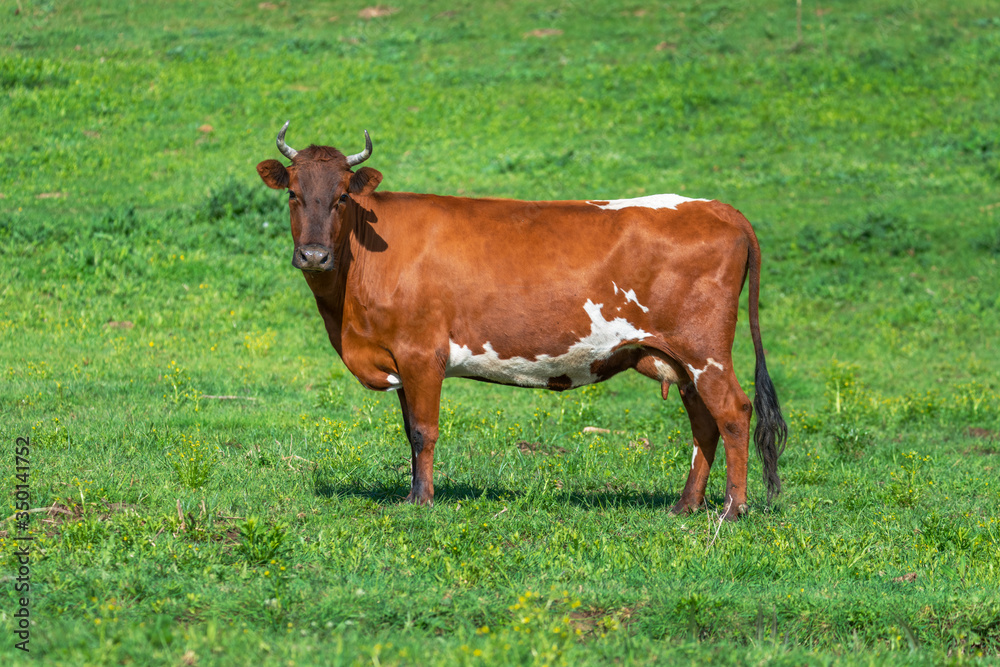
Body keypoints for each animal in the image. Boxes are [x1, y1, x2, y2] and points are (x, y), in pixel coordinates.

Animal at [260, 124, 788, 520]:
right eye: (293, 194)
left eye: (341, 197)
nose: (313, 255)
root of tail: (718, 208)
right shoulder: (400, 360)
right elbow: (409, 430)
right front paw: (411, 494)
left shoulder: (421, 354)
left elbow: (423, 430)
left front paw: (422, 501)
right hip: (678, 358)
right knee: (703, 422)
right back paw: (685, 505)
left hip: (706, 351)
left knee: (734, 413)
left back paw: (732, 509)